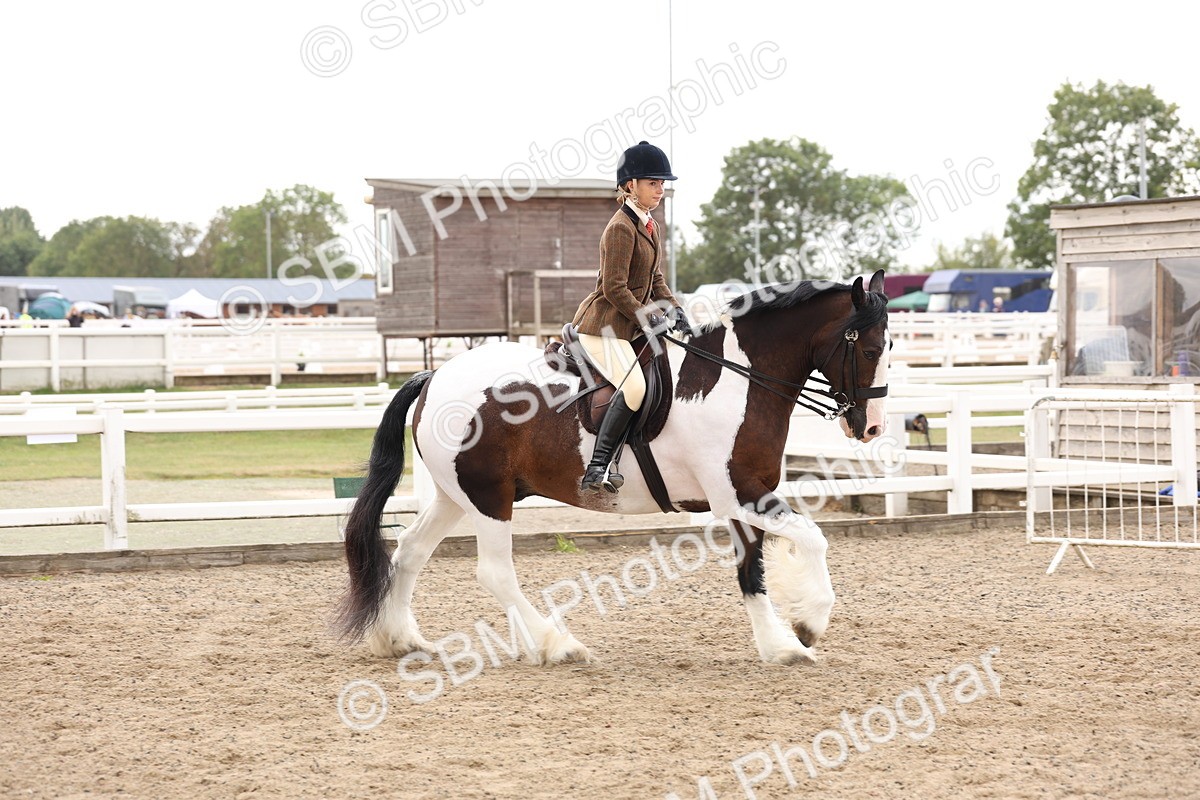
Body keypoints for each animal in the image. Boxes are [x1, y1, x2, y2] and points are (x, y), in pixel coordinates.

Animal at [338, 270, 891, 666]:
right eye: (868, 348)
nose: (871, 428)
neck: (738, 378)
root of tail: (434, 376)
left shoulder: (746, 494)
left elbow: (750, 570)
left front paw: (780, 646)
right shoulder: (738, 493)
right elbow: (812, 538)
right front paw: (809, 624)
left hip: (456, 495)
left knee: (410, 550)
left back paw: (401, 640)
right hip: (489, 496)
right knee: (494, 571)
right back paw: (555, 644)